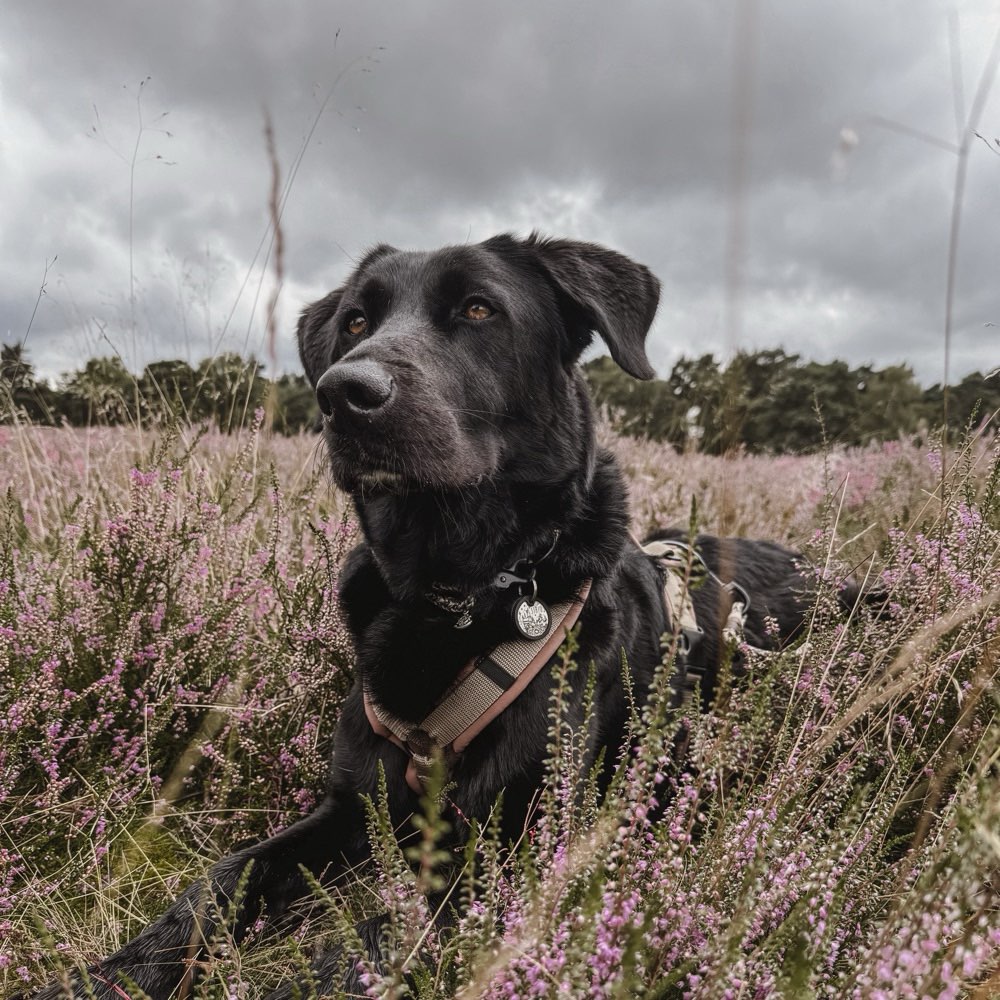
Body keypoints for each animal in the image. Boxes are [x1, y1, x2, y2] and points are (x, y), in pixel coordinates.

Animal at [37, 236, 820, 1000]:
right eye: (356, 321)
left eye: (478, 308)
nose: (344, 392)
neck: (454, 593)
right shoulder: (352, 805)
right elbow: (222, 879)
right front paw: (115, 975)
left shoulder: (517, 850)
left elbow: (366, 947)